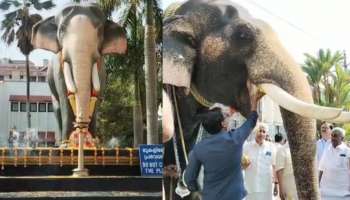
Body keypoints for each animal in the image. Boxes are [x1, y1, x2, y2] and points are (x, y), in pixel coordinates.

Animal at [31, 3, 127, 141]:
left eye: (99, 31)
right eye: (61, 30)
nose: (81, 126)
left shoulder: (101, 70)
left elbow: (96, 97)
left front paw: (93, 141)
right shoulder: (58, 71)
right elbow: (64, 97)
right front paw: (66, 143)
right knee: (57, 108)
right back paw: (60, 141)